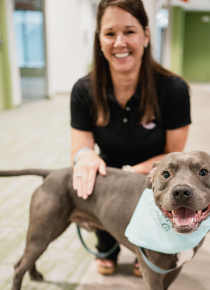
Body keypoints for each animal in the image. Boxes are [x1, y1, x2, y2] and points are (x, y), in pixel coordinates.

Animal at [0, 151, 210, 288]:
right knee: (19, 268)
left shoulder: (173, 270)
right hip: (42, 234)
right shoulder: (152, 274)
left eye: (204, 172)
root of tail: (52, 173)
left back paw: (34, 274)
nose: (181, 191)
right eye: (166, 174)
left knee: (24, 260)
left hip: (43, 234)